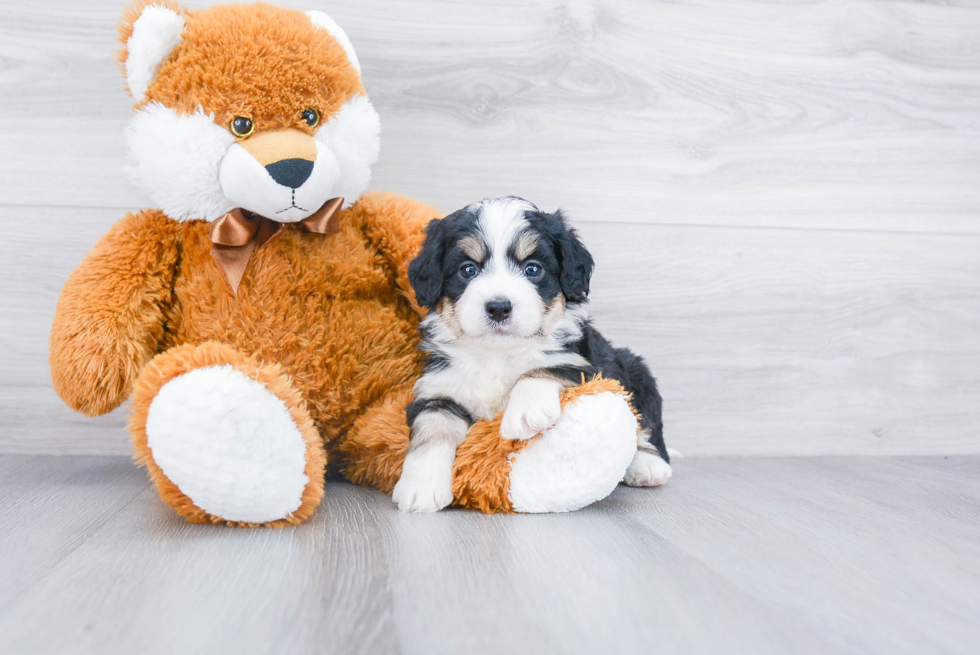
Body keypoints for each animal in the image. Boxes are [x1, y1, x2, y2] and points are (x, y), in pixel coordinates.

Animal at [392, 197, 672, 516]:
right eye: (468, 270)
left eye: (533, 269)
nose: (498, 307)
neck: (497, 355)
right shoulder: (439, 390)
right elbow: (431, 430)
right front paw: (420, 488)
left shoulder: (587, 365)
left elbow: (542, 368)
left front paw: (526, 413)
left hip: (636, 372)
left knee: (642, 427)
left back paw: (647, 466)